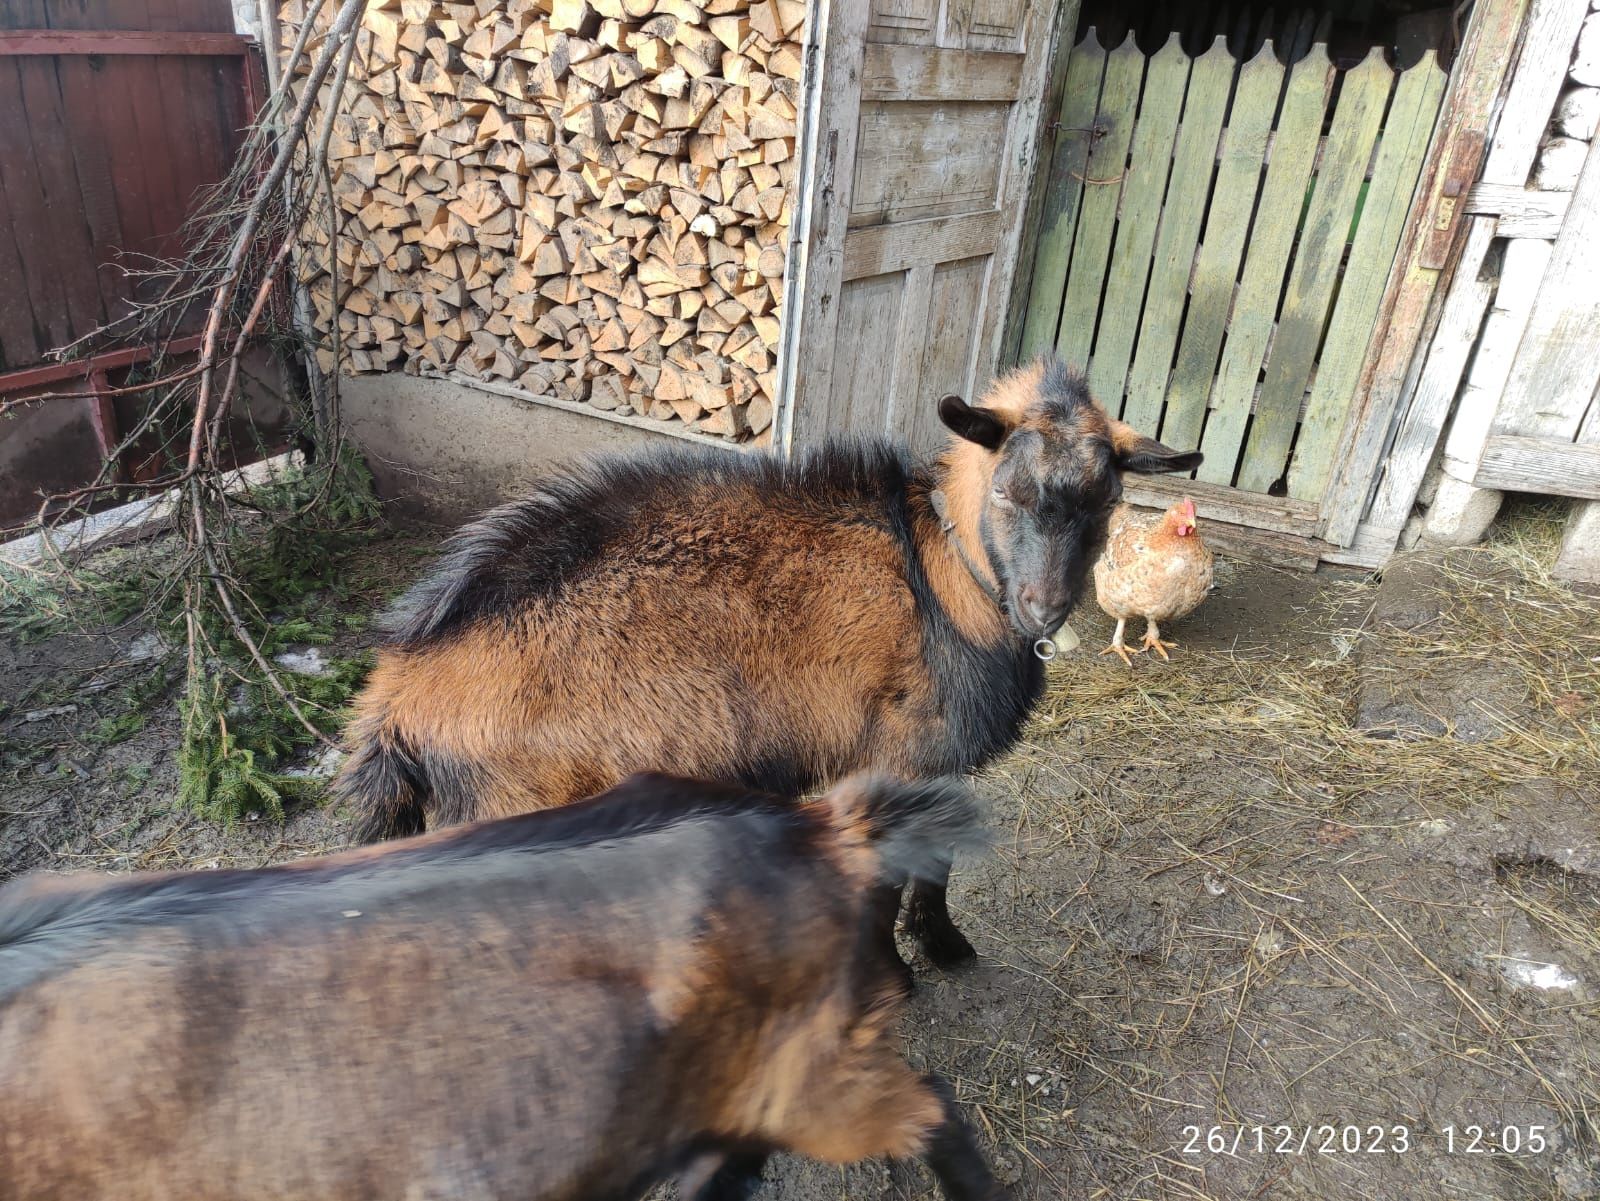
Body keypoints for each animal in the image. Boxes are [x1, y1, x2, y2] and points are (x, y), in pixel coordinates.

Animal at [337, 359, 1196, 965]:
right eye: (1009, 491)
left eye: (1106, 499)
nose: (1043, 609)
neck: (943, 574)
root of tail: (397, 691)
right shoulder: (898, 760)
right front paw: (902, 966)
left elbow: (937, 863)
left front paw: (940, 946)